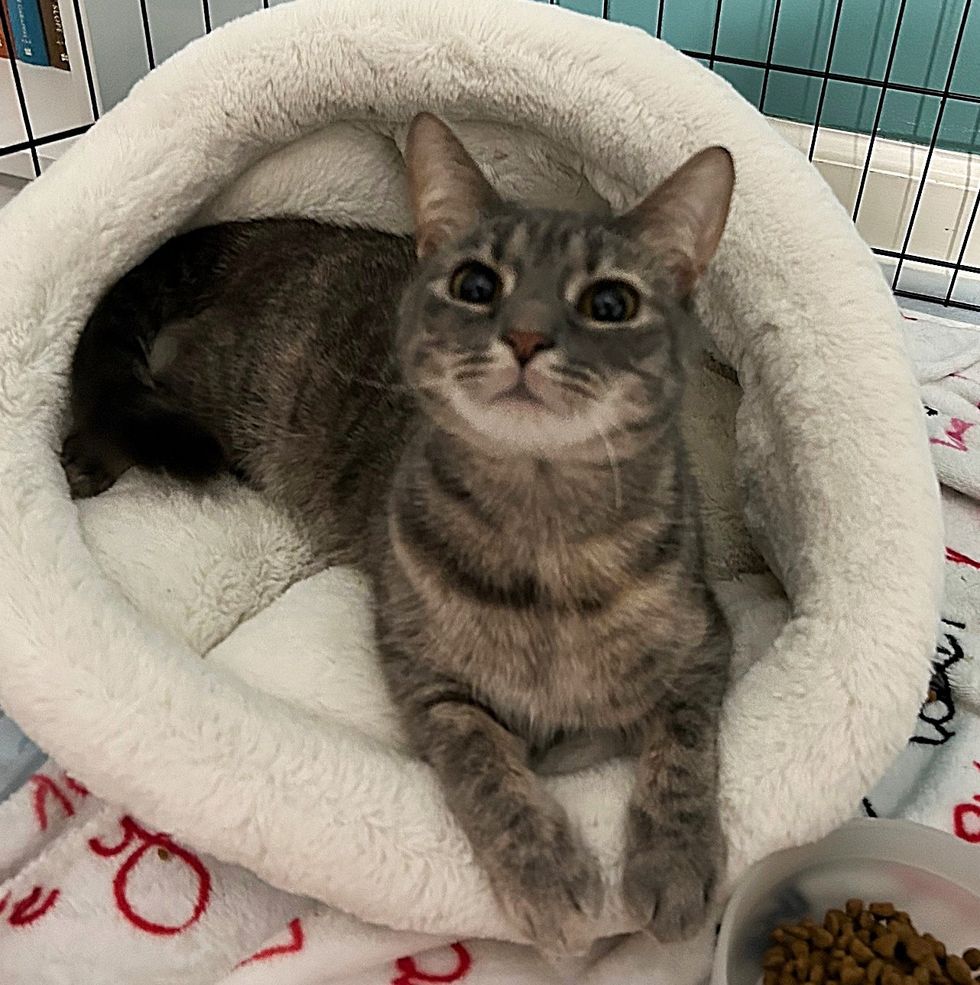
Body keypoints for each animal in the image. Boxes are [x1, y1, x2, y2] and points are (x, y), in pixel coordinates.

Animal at [61, 113, 736, 952]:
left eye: (610, 301)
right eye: (477, 285)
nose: (525, 336)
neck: (543, 533)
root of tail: (288, 233)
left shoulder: (704, 643)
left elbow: (684, 748)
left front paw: (676, 858)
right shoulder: (426, 675)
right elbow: (483, 764)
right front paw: (545, 871)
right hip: (230, 400)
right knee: (151, 385)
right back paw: (87, 454)